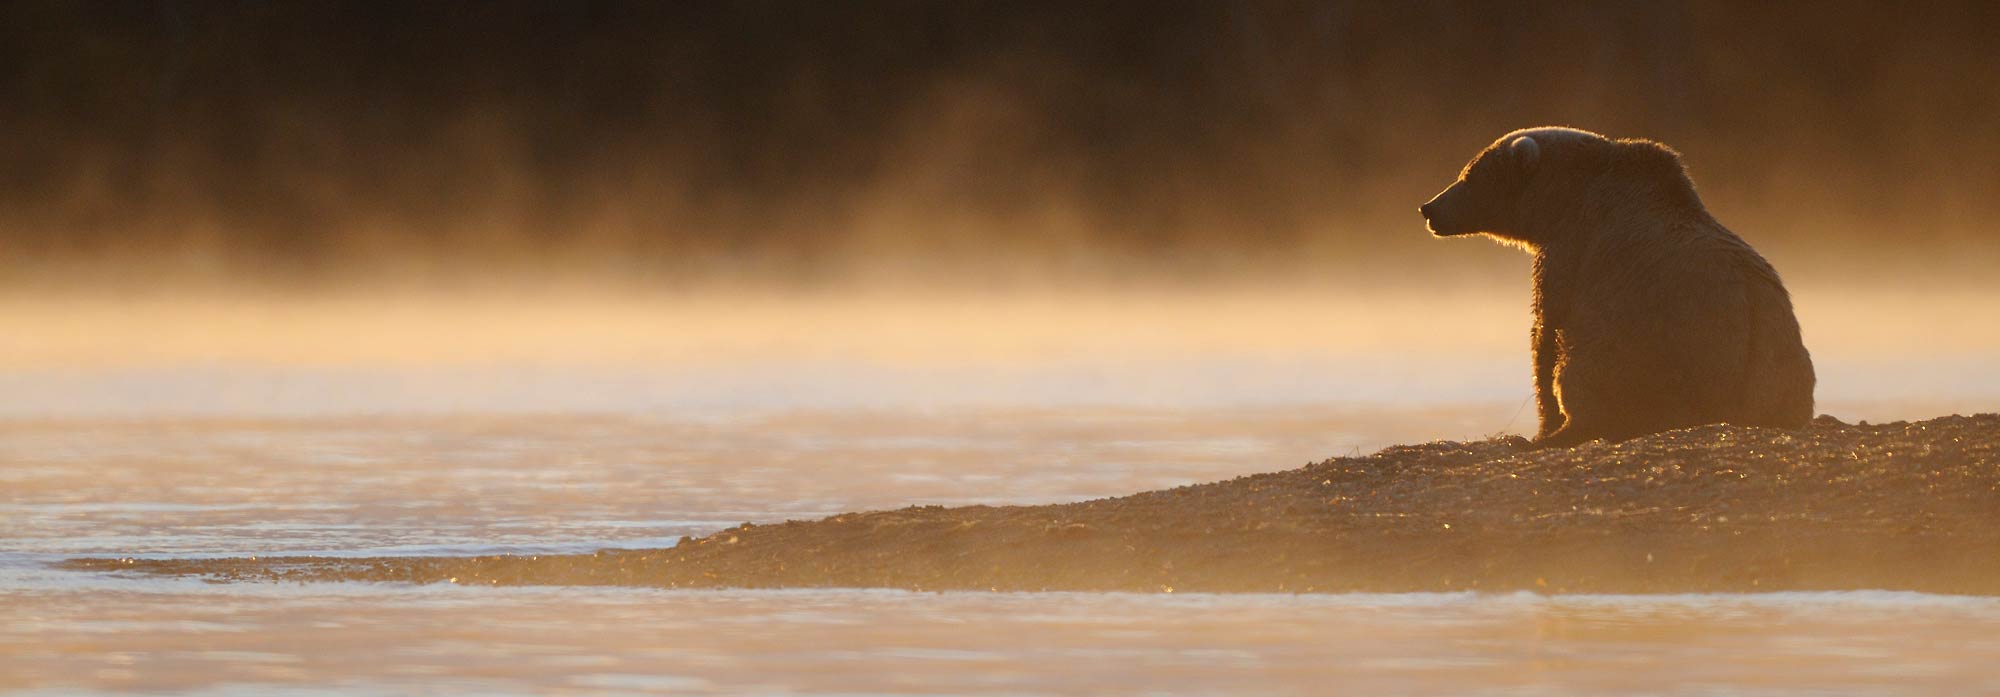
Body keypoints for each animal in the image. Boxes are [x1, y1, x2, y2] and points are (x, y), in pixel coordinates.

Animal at [1419, 126, 1814, 447]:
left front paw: (1543, 428)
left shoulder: (1572, 249)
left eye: (1469, 175)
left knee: (1587, 368)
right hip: (1779, 356)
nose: (1429, 207)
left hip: (1652, 347)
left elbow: (1546, 332)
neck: (1559, 201)